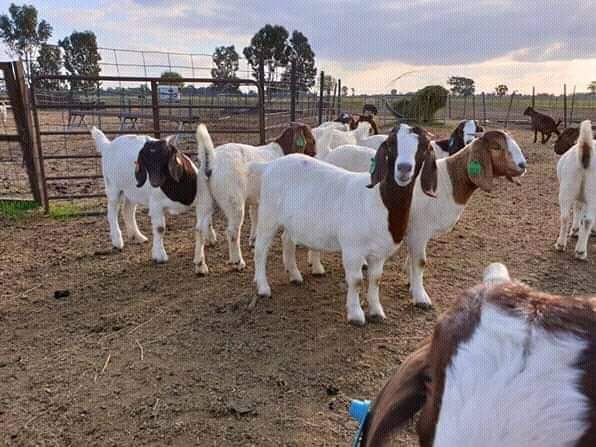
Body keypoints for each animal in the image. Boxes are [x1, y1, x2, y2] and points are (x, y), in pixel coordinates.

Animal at [91, 127, 198, 262]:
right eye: (145, 161)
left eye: (166, 156)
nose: (155, 182)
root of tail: (107, 145)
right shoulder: (156, 204)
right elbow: (160, 228)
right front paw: (159, 256)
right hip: (113, 187)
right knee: (112, 213)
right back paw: (117, 241)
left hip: (132, 191)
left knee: (128, 211)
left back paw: (138, 236)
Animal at [194, 123, 316, 276]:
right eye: (312, 140)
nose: (314, 155)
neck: (282, 151)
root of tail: (211, 161)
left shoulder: (256, 198)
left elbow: (254, 216)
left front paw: (253, 240)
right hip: (233, 200)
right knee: (232, 231)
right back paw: (237, 262)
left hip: (203, 197)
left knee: (199, 228)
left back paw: (200, 266)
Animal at [248, 125, 438, 326]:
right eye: (391, 143)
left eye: (423, 147)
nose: (403, 168)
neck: (377, 200)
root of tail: (269, 166)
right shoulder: (352, 249)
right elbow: (356, 280)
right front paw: (356, 315)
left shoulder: (379, 253)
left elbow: (375, 279)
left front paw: (376, 311)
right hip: (268, 215)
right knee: (260, 250)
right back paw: (263, 287)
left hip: (292, 220)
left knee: (287, 240)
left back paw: (295, 275)